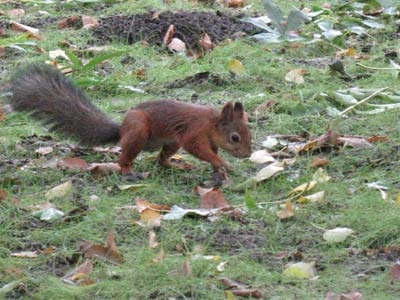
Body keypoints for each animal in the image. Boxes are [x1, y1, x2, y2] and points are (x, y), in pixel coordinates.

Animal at [9, 63, 252, 183]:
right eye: (235, 137)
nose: (248, 154)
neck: (212, 124)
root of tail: (122, 129)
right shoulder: (194, 132)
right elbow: (198, 149)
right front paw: (224, 164)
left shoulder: (209, 141)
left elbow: (211, 154)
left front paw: (219, 169)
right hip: (138, 131)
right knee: (124, 160)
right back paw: (128, 172)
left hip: (170, 142)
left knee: (161, 161)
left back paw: (176, 165)